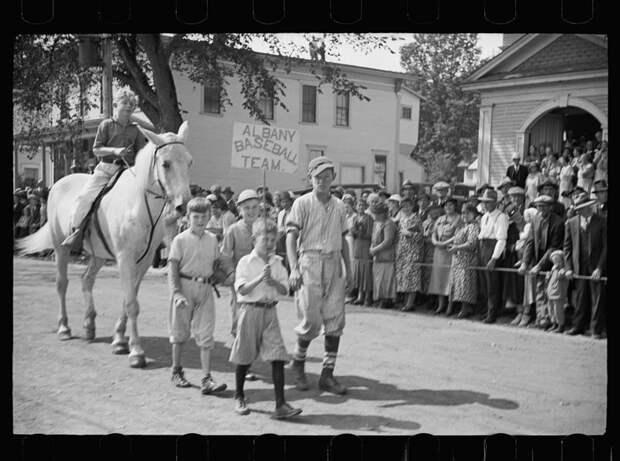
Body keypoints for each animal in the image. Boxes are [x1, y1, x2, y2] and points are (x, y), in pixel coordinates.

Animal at [17, 121, 193, 366]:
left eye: (189, 161)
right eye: (165, 164)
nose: (183, 205)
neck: (138, 205)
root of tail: (58, 184)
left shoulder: (143, 260)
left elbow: (129, 298)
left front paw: (119, 340)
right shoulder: (124, 257)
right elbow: (132, 304)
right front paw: (136, 351)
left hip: (98, 255)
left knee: (86, 280)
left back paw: (89, 325)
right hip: (61, 248)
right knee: (62, 284)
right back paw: (64, 328)